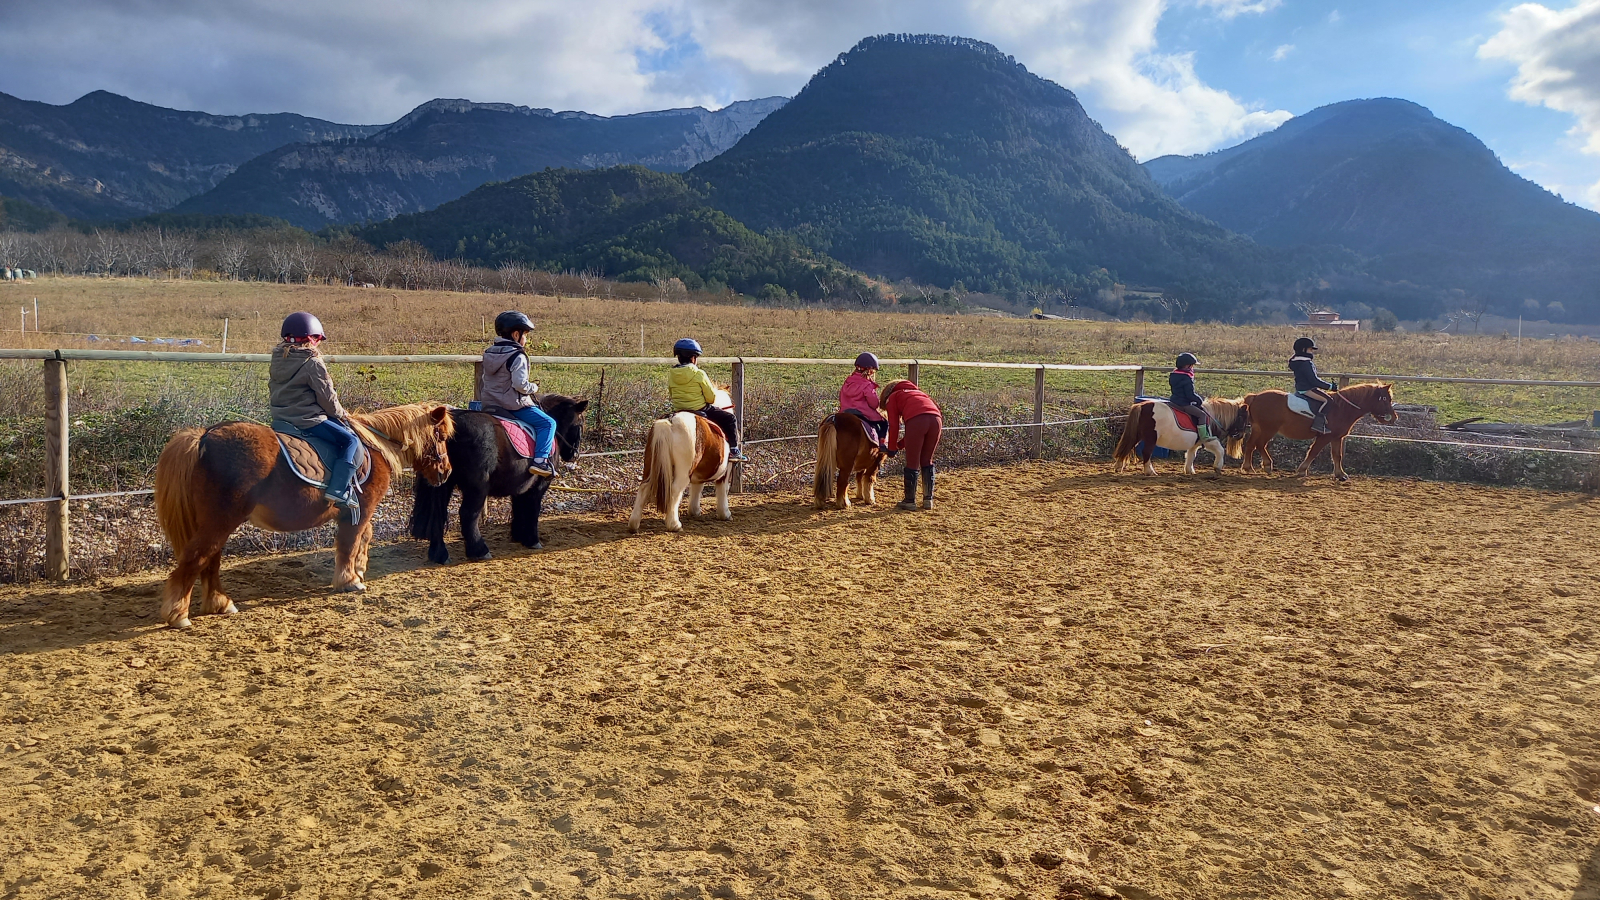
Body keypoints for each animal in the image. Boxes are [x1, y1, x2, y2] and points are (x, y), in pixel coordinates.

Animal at [152, 403, 454, 627]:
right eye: (440, 436)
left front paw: (359, 570)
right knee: (196, 559)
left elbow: (363, 538)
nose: (446, 472)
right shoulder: (360, 511)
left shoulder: (359, 513)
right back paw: (178, 614)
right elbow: (350, 543)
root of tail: (203, 437)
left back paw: (220, 604)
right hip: (220, 522)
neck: (376, 446)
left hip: (216, 523)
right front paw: (349, 580)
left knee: (210, 561)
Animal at [1113, 395, 1248, 474]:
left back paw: (1118, 466)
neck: (1212, 417)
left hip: (1138, 436)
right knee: (1146, 452)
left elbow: (1191, 455)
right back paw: (1149, 471)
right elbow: (1220, 450)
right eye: (1243, 418)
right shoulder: (1209, 441)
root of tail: (1142, 405)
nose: (1240, 435)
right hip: (1151, 438)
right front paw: (1217, 467)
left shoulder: (1195, 444)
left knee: (1127, 446)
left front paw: (1189, 471)